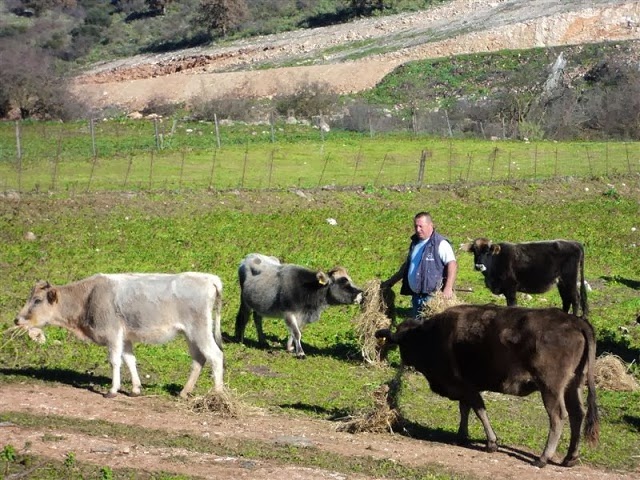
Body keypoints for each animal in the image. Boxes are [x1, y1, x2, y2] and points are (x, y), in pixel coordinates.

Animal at [235, 253, 364, 358]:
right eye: (344, 282)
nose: (361, 295)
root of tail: (249, 256)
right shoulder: (288, 313)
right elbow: (296, 332)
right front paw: (300, 353)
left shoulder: (302, 316)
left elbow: (296, 331)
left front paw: (290, 347)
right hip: (245, 301)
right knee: (244, 317)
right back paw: (241, 340)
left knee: (257, 319)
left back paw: (263, 342)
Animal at [376, 304, 600, 468]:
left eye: (404, 344)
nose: (404, 361)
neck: (430, 335)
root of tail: (576, 321)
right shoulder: (466, 388)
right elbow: (465, 409)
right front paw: (462, 436)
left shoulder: (466, 386)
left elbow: (478, 409)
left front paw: (491, 443)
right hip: (573, 386)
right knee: (577, 414)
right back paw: (570, 458)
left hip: (551, 388)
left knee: (558, 417)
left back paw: (542, 459)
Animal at [460, 239, 592, 316]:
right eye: (474, 251)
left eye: (488, 251)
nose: (479, 265)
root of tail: (575, 243)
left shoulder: (511, 288)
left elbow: (512, 305)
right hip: (562, 282)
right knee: (566, 300)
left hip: (570, 280)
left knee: (575, 299)